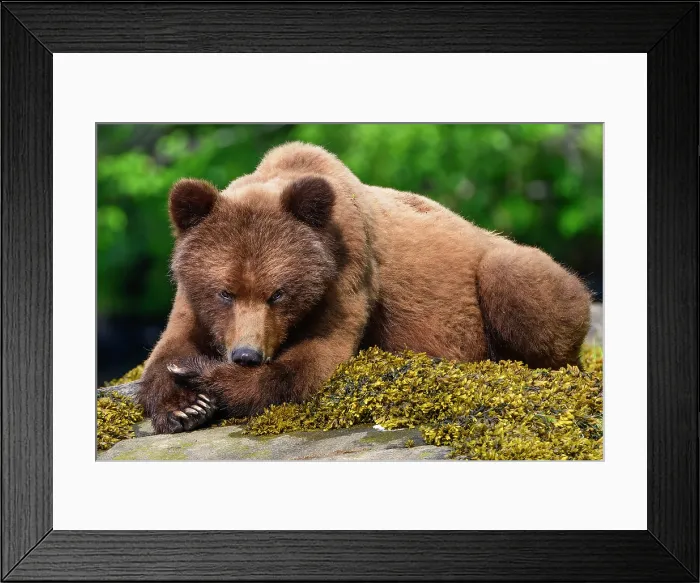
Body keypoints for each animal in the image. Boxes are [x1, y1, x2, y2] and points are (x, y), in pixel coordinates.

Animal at [135, 142, 592, 434]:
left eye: (278, 293)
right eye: (224, 292)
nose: (246, 355)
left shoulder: (348, 272)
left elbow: (314, 361)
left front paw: (202, 376)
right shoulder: (191, 298)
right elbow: (167, 346)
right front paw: (183, 406)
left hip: (517, 267)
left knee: (514, 280)